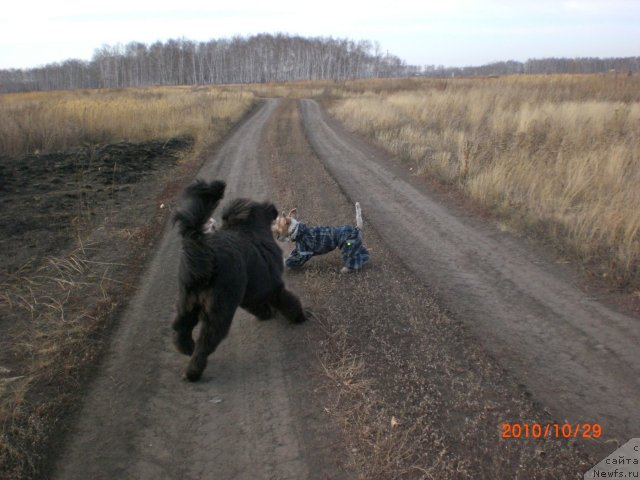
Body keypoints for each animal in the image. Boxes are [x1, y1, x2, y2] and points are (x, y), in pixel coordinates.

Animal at [172, 178, 308, 380]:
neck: (245, 229)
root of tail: (205, 254)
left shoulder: (249, 294)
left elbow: (257, 306)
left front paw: (266, 314)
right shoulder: (273, 286)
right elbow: (288, 301)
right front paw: (299, 316)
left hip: (186, 302)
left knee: (180, 327)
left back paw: (186, 347)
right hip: (218, 312)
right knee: (205, 342)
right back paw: (193, 372)